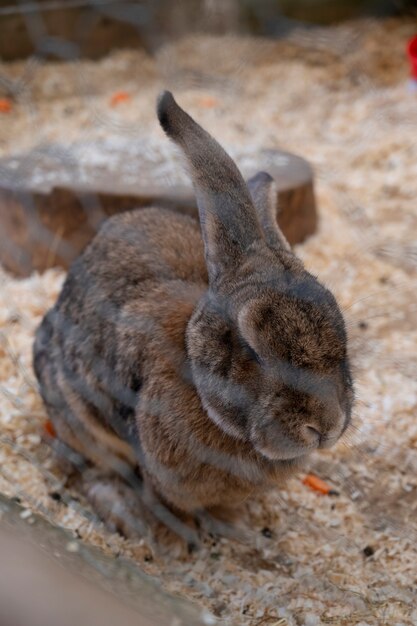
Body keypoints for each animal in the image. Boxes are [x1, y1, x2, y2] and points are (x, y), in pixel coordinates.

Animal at [32, 90, 352, 544]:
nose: (325, 426)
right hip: (75, 414)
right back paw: (126, 513)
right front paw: (177, 540)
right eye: (251, 349)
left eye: (342, 336)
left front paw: (239, 529)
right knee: (94, 467)